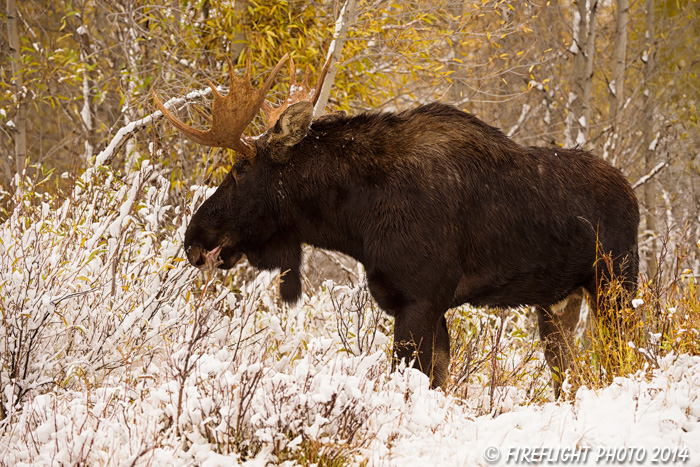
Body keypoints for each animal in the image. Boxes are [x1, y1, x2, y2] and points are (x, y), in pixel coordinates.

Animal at [153, 52, 640, 394]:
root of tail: (633, 193)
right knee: (570, 377)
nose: (193, 237)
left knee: (627, 358)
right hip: (558, 303)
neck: (356, 221)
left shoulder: (420, 299)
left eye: (239, 172)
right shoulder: (424, 305)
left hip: (616, 285)